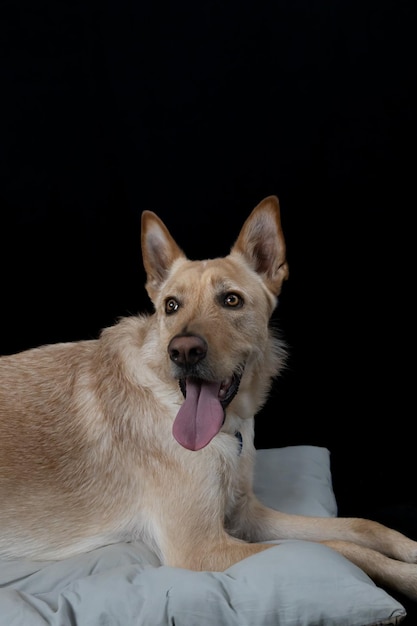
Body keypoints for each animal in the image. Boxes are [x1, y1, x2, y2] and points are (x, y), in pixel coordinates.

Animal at [0, 195, 416, 600]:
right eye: (171, 306)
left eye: (231, 300)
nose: (183, 351)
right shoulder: (202, 549)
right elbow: (337, 549)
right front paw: (408, 576)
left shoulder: (246, 515)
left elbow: (360, 527)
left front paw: (409, 549)